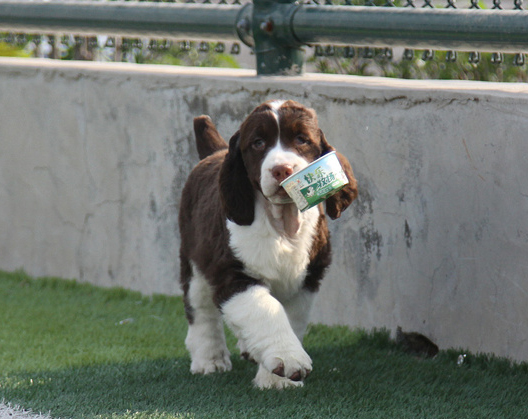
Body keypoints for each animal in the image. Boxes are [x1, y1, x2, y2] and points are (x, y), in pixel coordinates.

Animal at [179, 100, 356, 388]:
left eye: (301, 139)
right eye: (258, 143)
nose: (281, 170)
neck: (282, 224)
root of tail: (214, 153)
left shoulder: (307, 279)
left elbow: (290, 318)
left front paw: (277, 380)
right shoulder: (233, 274)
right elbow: (264, 310)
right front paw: (288, 360)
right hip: (193, 261)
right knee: (201, 310)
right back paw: (209, 360)